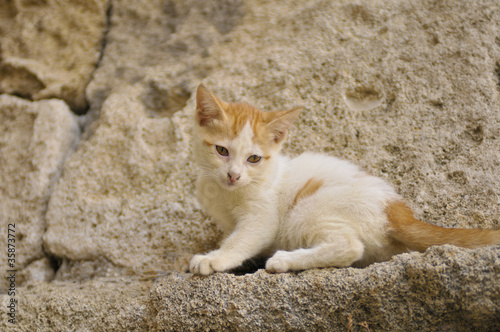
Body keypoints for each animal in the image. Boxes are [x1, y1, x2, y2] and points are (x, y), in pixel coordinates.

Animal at [188, 83, 500, 274]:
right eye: (222, 151)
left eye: (253, 159)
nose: (233, 175)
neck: (226, 192)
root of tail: (396, 209)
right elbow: (233, 234)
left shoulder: (262, 216)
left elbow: (242, 240)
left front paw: (214, 259)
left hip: (308, 211)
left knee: (349, 246)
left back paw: (284, 260)